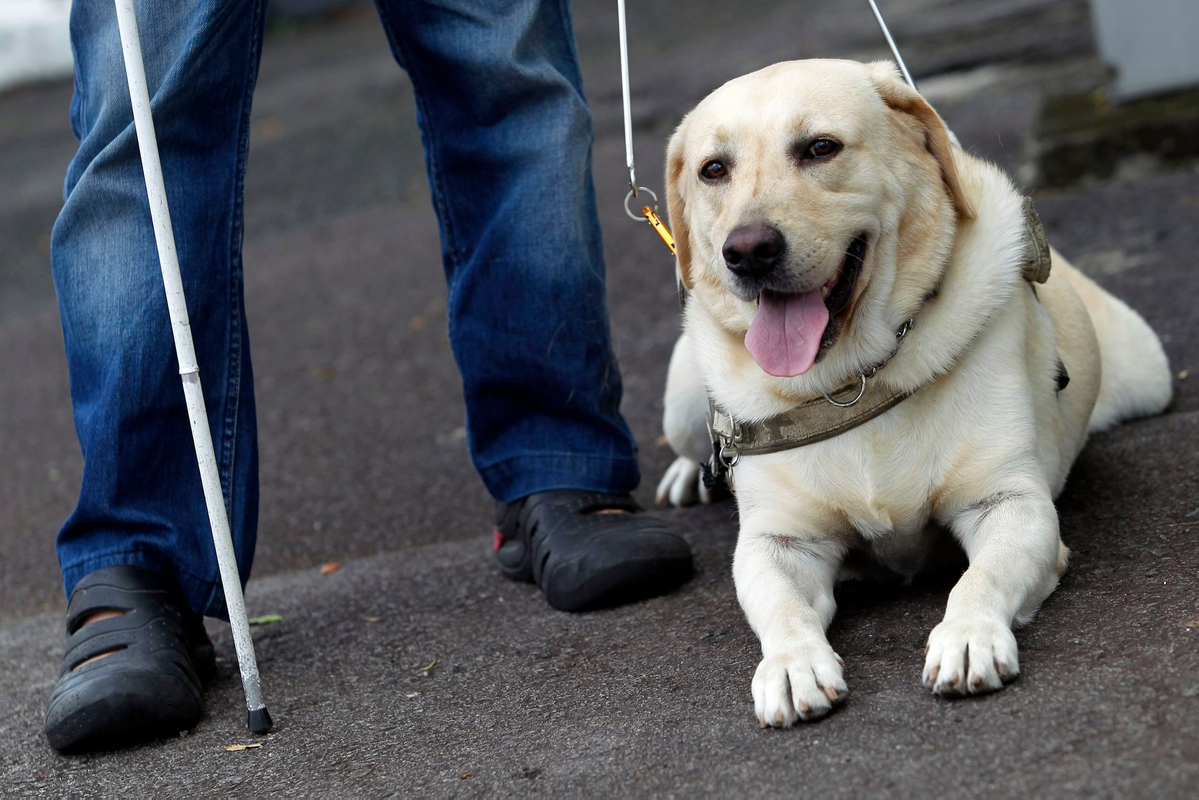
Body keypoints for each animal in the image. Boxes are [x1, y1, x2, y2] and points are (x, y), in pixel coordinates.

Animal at [657, 59, 1170, 729]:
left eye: (820, 148)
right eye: (714, 169)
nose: (747, 250)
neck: (851, 380)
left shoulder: (1010, 502)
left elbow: (979, 579)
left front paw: (968, 635)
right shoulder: (777, 542)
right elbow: (782, 608)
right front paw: (792, 666)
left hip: (1149, 372)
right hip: (683, 397)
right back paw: (687, 473)